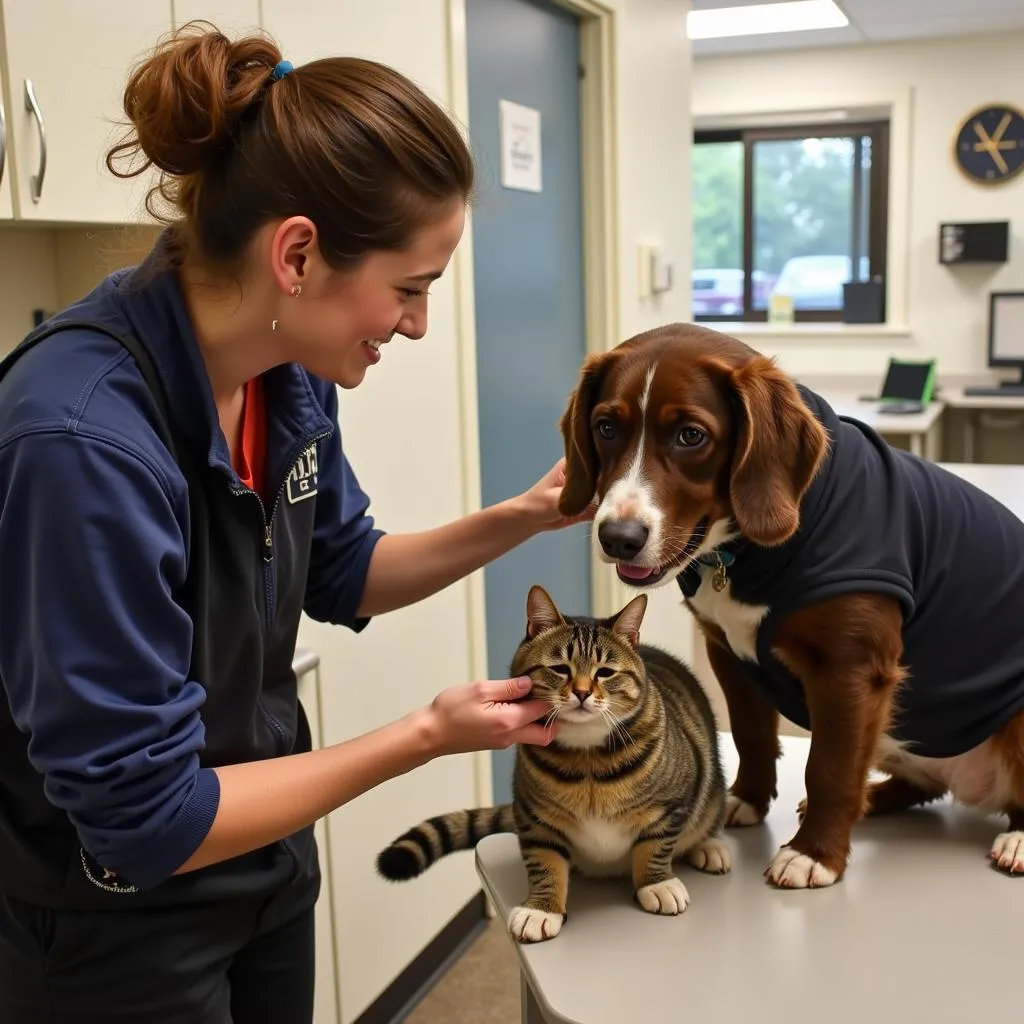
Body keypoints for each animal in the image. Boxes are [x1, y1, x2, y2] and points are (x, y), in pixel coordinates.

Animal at [376, 585, 729, 942]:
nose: (583, 693)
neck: (588, 756)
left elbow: (655, 846)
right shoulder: (536, 819)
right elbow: (544, 863)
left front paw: (657, 884)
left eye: (605, 672)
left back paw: (709, 847)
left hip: (713, 794)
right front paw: (541, 909)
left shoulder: (670, 807)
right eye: (560, 668)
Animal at [557, 321, 1024, 888]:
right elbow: (752, 734)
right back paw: (875, 799)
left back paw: (1017, 838)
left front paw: (814, 853)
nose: (618, 538)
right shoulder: (728, 653)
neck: (741, 552)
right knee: (923, 785)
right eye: (605, 427)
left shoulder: (851, 670)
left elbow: (830, 767)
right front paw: (747, 799)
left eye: (691, 435)